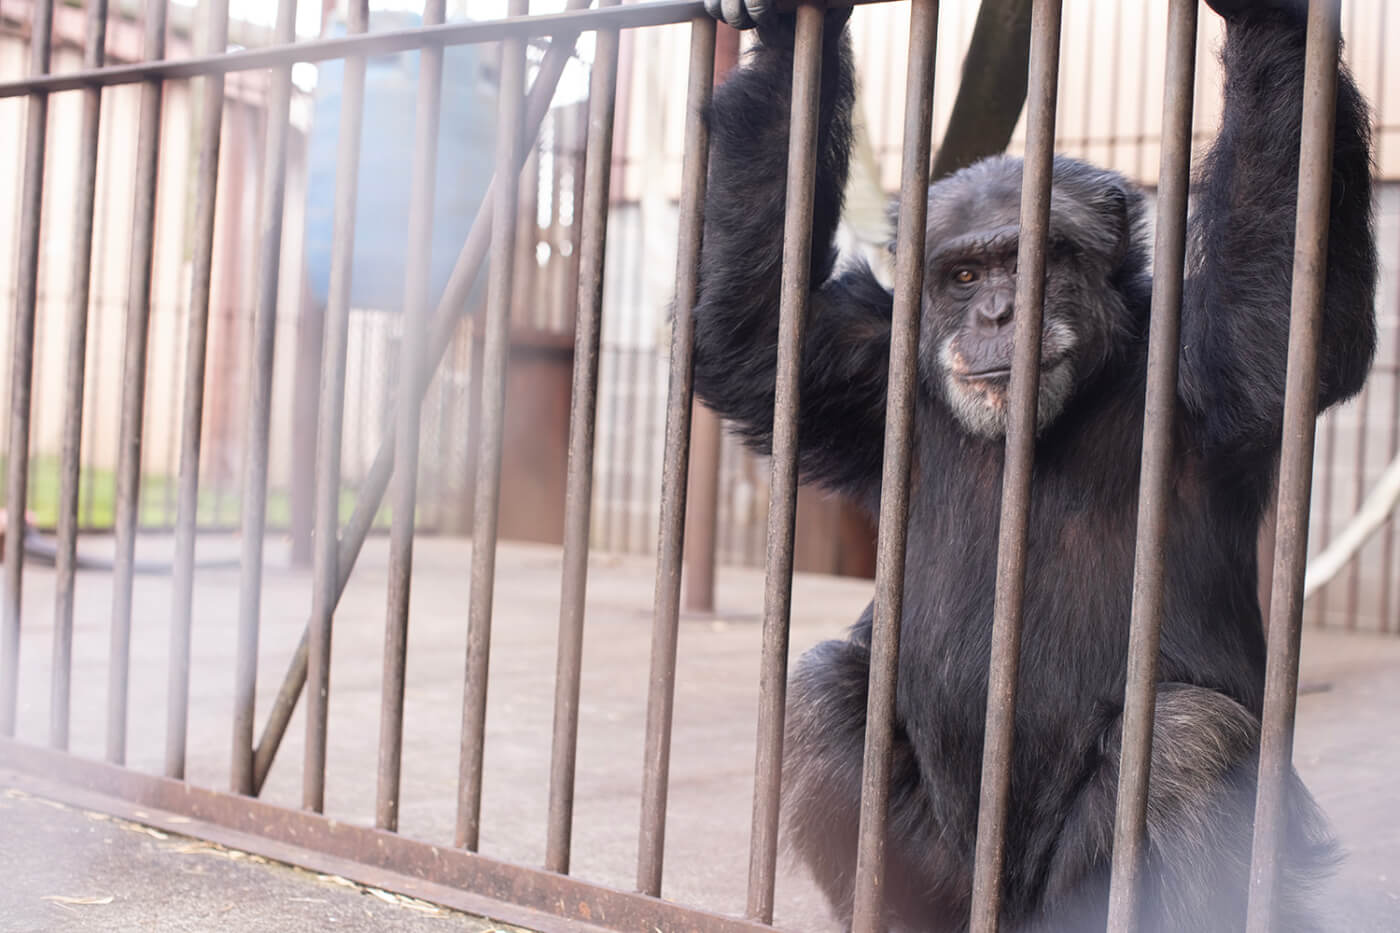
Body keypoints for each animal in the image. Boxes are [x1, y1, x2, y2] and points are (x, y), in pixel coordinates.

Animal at [688, 1, 1377, 930]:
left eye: (1038, 260)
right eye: (964, 271)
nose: (997, 311)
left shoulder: (1209, 372)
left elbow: (1286, 314)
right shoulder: (863, 370)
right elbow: (750, 335)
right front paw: (786, 23)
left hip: (1090, 892)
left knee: (1183, 746)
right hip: (950, 878)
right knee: (823, 700)